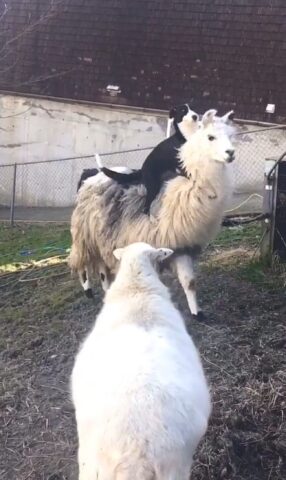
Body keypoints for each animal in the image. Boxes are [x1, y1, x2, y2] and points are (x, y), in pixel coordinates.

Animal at [68, 109, 235, 318]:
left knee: (102, 269)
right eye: (210, 137)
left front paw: (197, 313)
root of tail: (90, 175)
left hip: (101, 234)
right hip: (83, 234)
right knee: (81, 263)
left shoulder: (181, 247)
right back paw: (88, 290)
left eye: (231, 136)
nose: (231, 153)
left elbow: (190, 283)